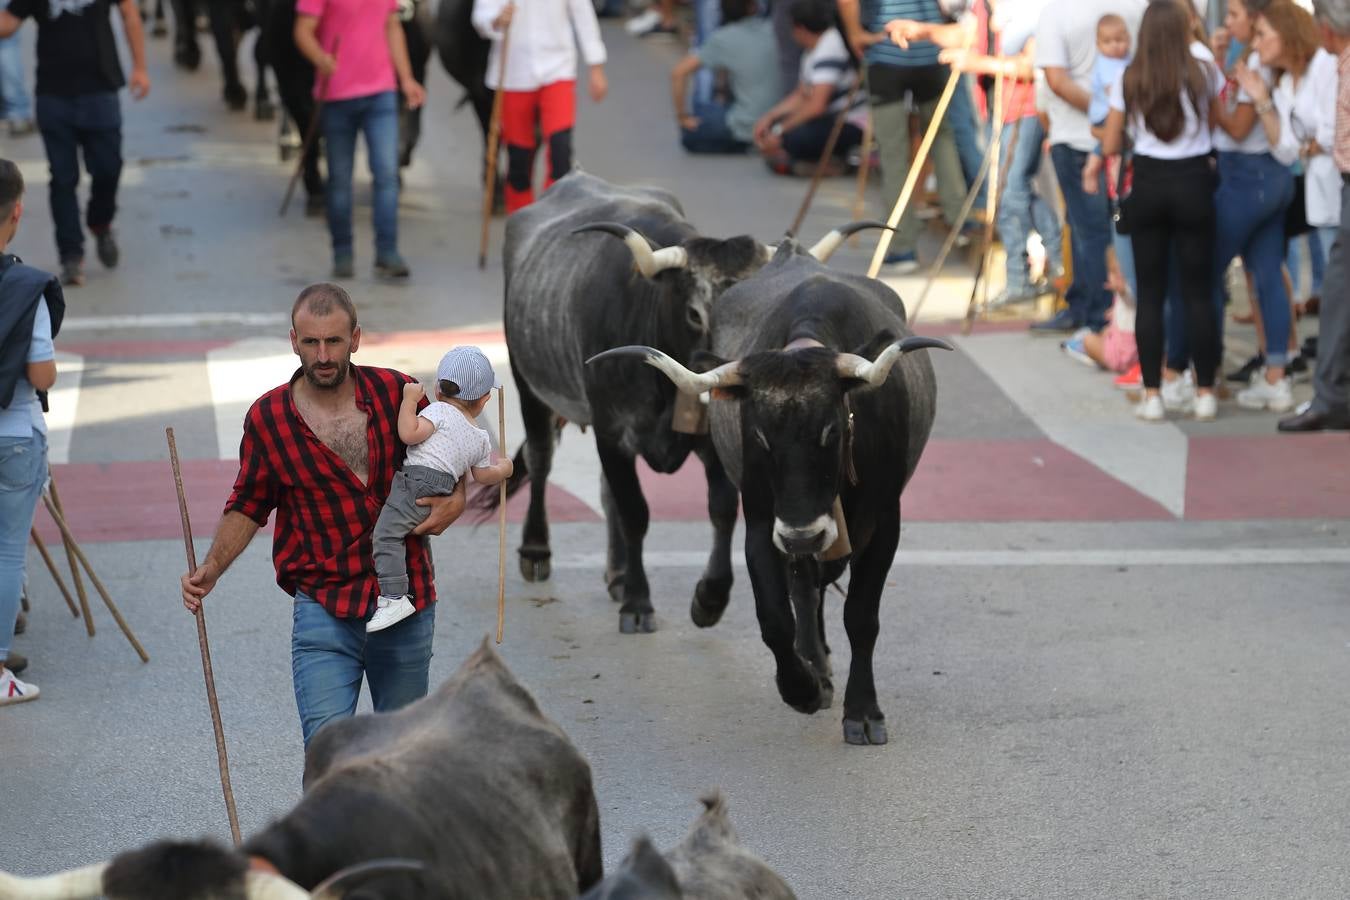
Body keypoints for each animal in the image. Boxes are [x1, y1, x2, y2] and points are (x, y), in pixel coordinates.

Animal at [596, 238, 955, 744]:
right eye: (760, 436)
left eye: (832, 430)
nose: (805, 535)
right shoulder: (765, 521)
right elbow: (775, 616)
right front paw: (802, 688)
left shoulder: (885, 522)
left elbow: (861, 616)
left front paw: (863, 711)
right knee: (803, 589)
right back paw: (815, 664)